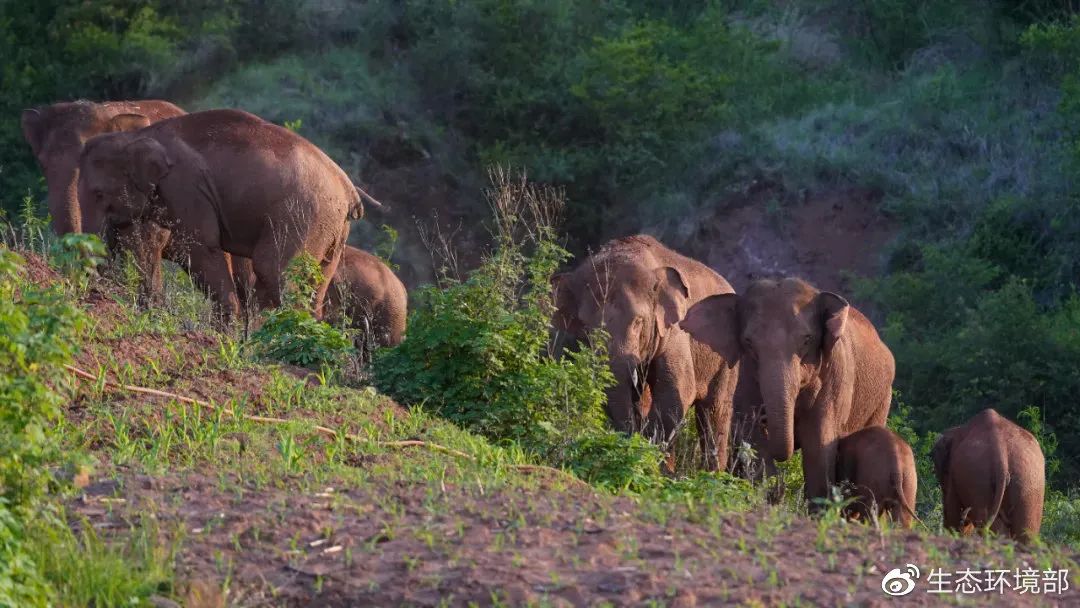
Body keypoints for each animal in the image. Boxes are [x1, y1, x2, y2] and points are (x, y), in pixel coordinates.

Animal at [78, 108, 363, 319]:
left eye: (98, 193)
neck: (139, 135)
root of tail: (349, 189)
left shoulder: (186, 187)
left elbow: (198, 247)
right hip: (332, 230)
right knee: (314, 284)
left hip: (303, 217)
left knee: (272, 270)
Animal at [552, 235, 739, 471]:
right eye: (586, 328)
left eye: (638, 322)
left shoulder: (675, 330)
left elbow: (678, 391)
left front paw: (648, 452)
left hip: (726, 356)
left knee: (714, 410)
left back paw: (713, 474)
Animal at [680, 277, 895, 504]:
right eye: (748, 342)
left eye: (807, 339)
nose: (765, 417)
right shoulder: (743, 375)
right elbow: (751, 433)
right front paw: (772, 496)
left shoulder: (835, 375)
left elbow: (819, 441)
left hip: (883, 400)